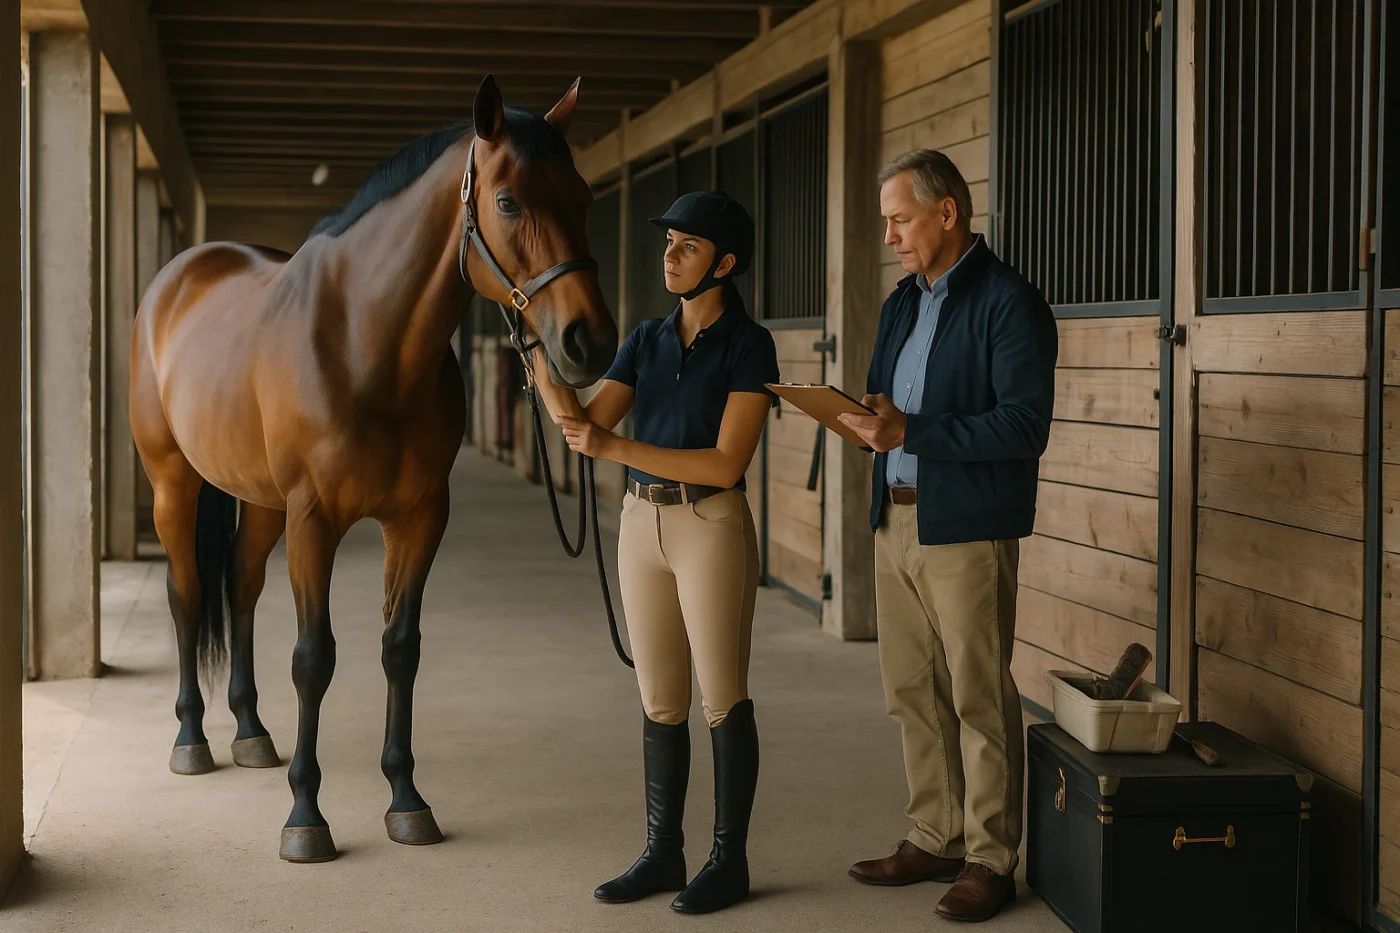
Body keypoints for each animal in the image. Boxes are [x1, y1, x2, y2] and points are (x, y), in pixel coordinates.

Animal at [129, 76, 617, 863]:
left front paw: (406, 800)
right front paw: (305, 815)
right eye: (509, 201)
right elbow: (313, 657)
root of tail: (177, 277)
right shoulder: (314, 519)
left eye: (583, 195)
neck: (365, 342)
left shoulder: (419, 515)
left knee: (239, 585)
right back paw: (191, 738)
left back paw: (250, 732)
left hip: (260, 500)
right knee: (187, 592)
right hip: (175, 482)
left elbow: (400, 649)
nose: (590, 342)